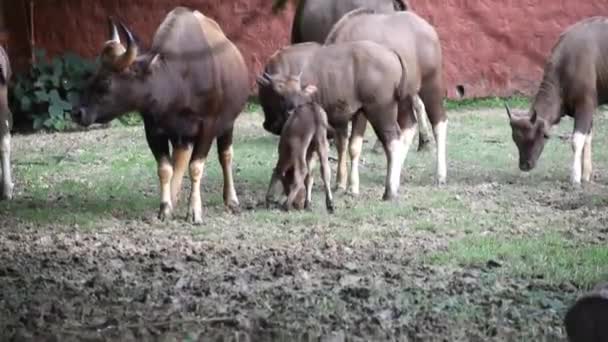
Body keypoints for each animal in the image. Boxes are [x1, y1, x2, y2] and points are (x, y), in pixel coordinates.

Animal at [264, 81, 334, 212]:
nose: (299, 204)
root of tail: (312, 108)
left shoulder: (284, 154)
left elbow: (277, 170)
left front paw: (269, 198)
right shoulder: (311, 154)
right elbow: (309, 177)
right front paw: (308, 203)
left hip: (298, 148)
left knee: (301, 169)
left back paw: (286, 204)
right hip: (322, 144)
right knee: (325, 170)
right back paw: (330, 204)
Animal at [506, 16, 608, 187]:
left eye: (539, 137)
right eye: (515, 139)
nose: (524, 165)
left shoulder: (585, 105)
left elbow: (577, 140)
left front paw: (575, 177)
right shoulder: (589, 109)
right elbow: (588, 138)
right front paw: (586, 174)